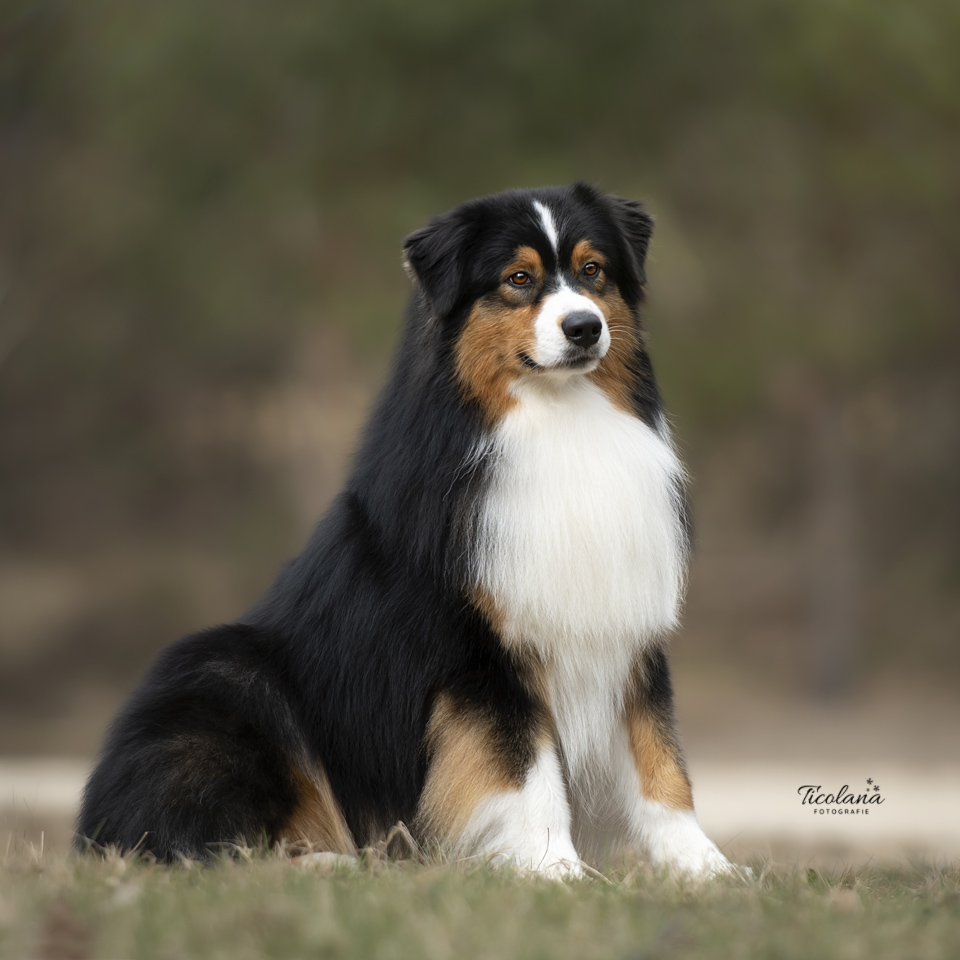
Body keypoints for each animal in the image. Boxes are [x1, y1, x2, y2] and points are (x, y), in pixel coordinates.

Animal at [79, 182, 732, 876]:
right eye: (518, 279)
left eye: (593, 270)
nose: (584, 326)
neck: (558, 422)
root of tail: (91, 823)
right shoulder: (477, 651)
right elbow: (528, 772)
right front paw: (554, 870)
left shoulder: (629, 630)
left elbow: (661, 767)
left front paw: (709, 871)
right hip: (224, 675)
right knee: (198, 843)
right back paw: (331, 864)